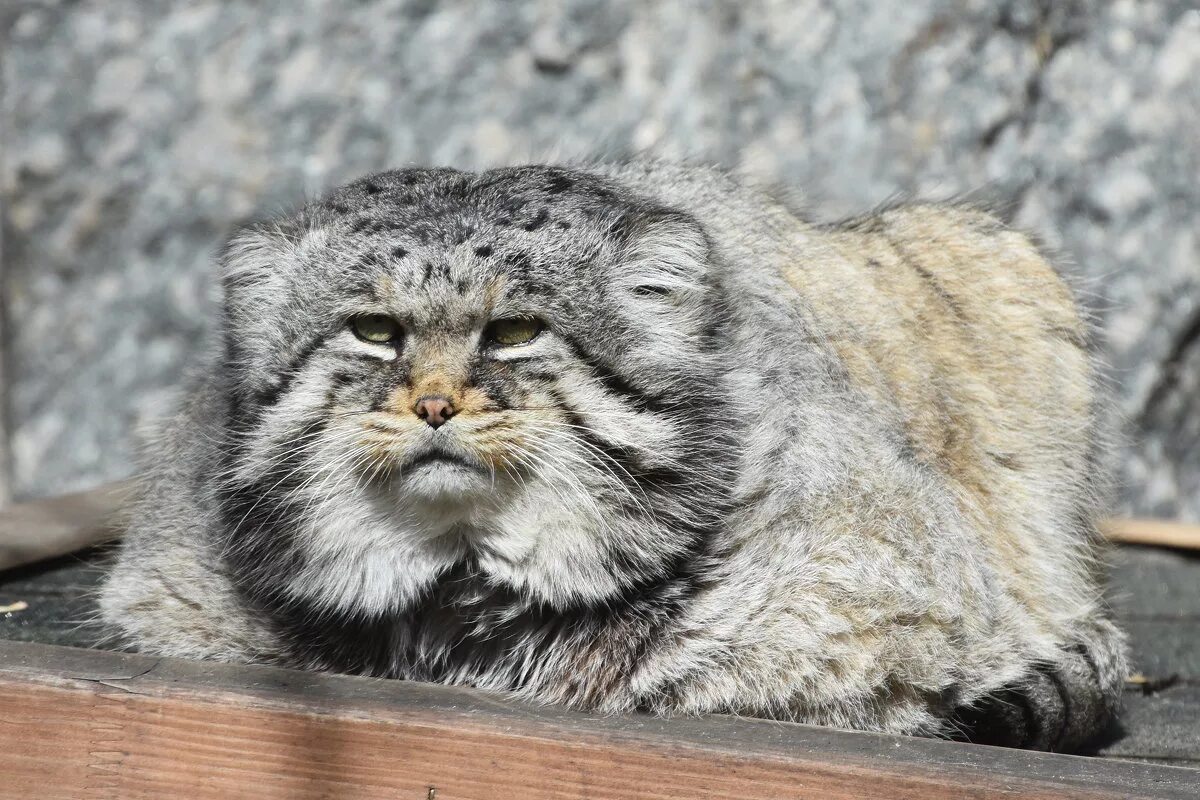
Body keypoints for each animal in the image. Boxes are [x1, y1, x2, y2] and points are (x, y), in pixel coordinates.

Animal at [100, 160, 1123, 753]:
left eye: (515, 331)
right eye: (375, 330)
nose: (433, 405)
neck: (459, 599)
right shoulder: (172, 603)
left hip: (991, 253)